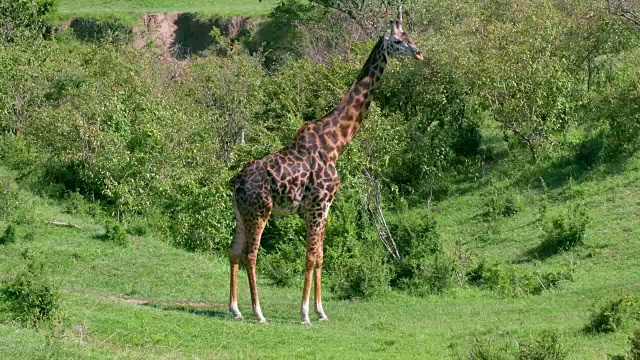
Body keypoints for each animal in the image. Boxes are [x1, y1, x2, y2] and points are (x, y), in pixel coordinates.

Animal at [228, 7, 422, 326]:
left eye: (409, 36)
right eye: (397, 41)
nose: (418, 53)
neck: (336, 143)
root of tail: (236, 183)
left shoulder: (326, 206)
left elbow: (320, 256)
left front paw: (321, 311)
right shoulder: (317, 204)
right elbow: (309, 257)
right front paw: (305, 313)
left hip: (241, 213)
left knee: (233, 251)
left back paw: (235, 309)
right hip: (260, 212)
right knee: (250, 255)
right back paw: (258, 312)